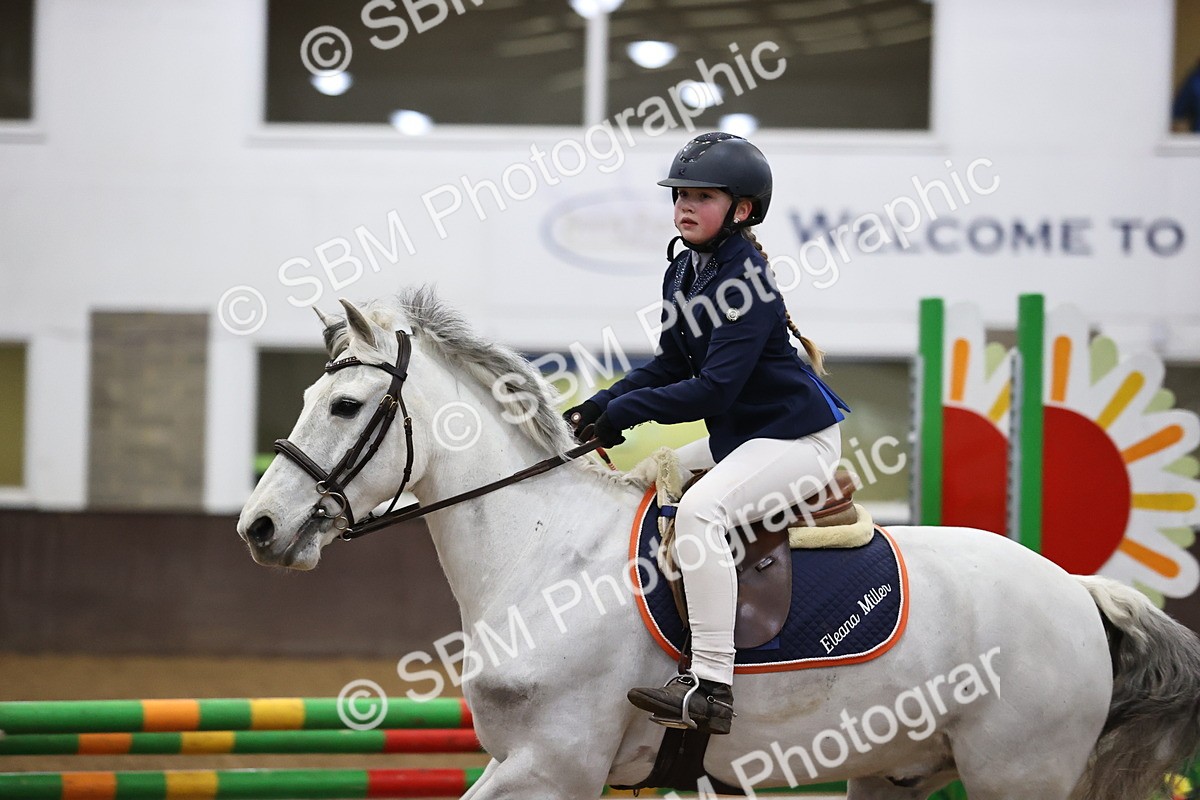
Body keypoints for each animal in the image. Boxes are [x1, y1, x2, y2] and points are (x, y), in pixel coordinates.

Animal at [238, 286, 1200, 800]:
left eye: (346, 406)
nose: (259, 528)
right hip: (900, 769)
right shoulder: (542, 763)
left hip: (1016, 772)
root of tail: (1078, 590)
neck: (541, 552)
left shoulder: (554, 763)